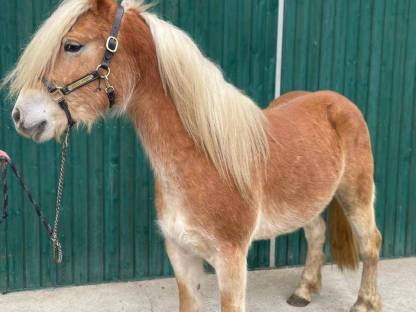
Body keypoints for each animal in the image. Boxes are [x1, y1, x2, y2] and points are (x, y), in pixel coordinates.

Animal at [4, 0, 380, 312]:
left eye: (72, 45)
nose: (21, 116)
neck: (204, 159)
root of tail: (337, 100)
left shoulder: (231, 260)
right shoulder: (180, 254)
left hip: (356, 194)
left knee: (370, 243)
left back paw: (365, 302)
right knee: (316, 233)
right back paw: (303, 291)